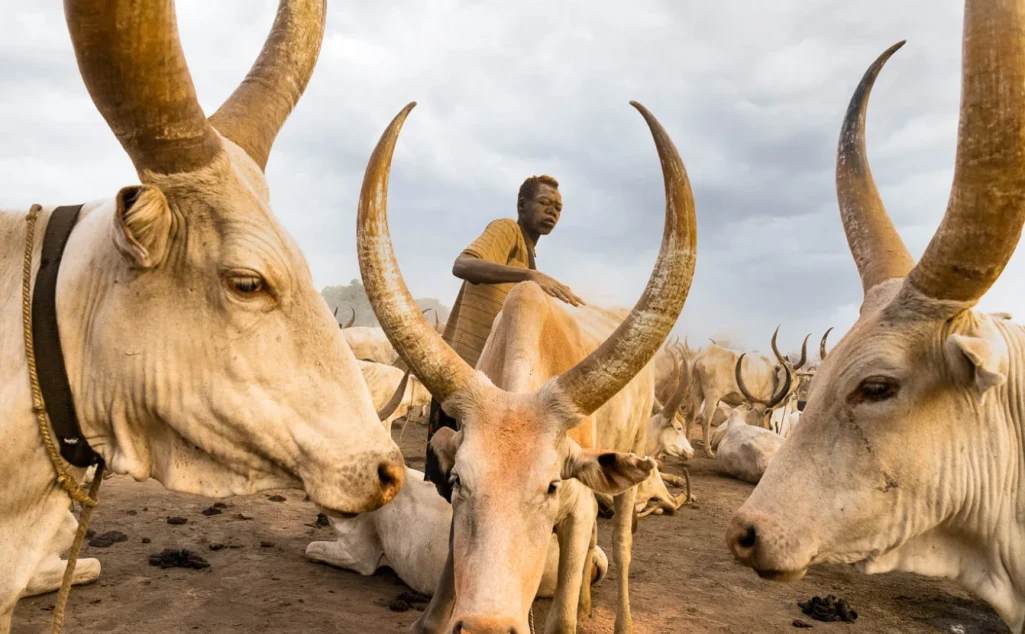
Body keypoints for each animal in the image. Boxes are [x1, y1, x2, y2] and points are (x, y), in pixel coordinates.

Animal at [356, 101, 696, 634]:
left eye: (551, 484)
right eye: (458, 482)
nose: (488, 626)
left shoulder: (578, 504)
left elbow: (563, 614)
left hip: (632, 462)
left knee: (620, 545)